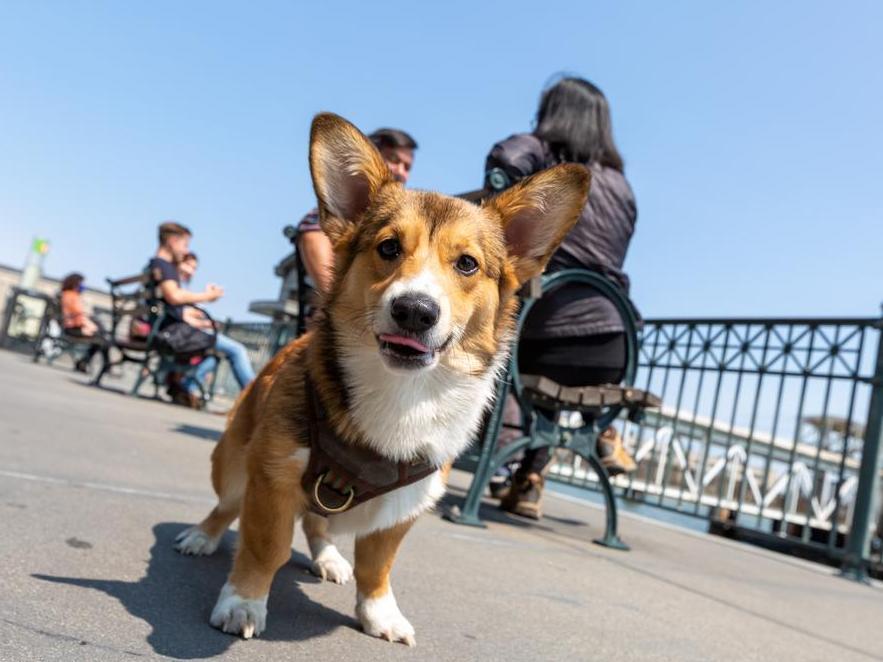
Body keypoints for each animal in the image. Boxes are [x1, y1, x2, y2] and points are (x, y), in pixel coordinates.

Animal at [174, 111, 592, 644]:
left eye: (467, 264)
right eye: (388, 247)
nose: (414, 310)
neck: (404, 393)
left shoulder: (406, 505)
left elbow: (378, 566)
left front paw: (379, 614)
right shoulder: (272, 476)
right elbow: (265, 547)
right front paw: (244, 603)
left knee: (319, 525)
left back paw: (329, 559)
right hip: (232, 461)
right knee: (227, 507)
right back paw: (201, 537)